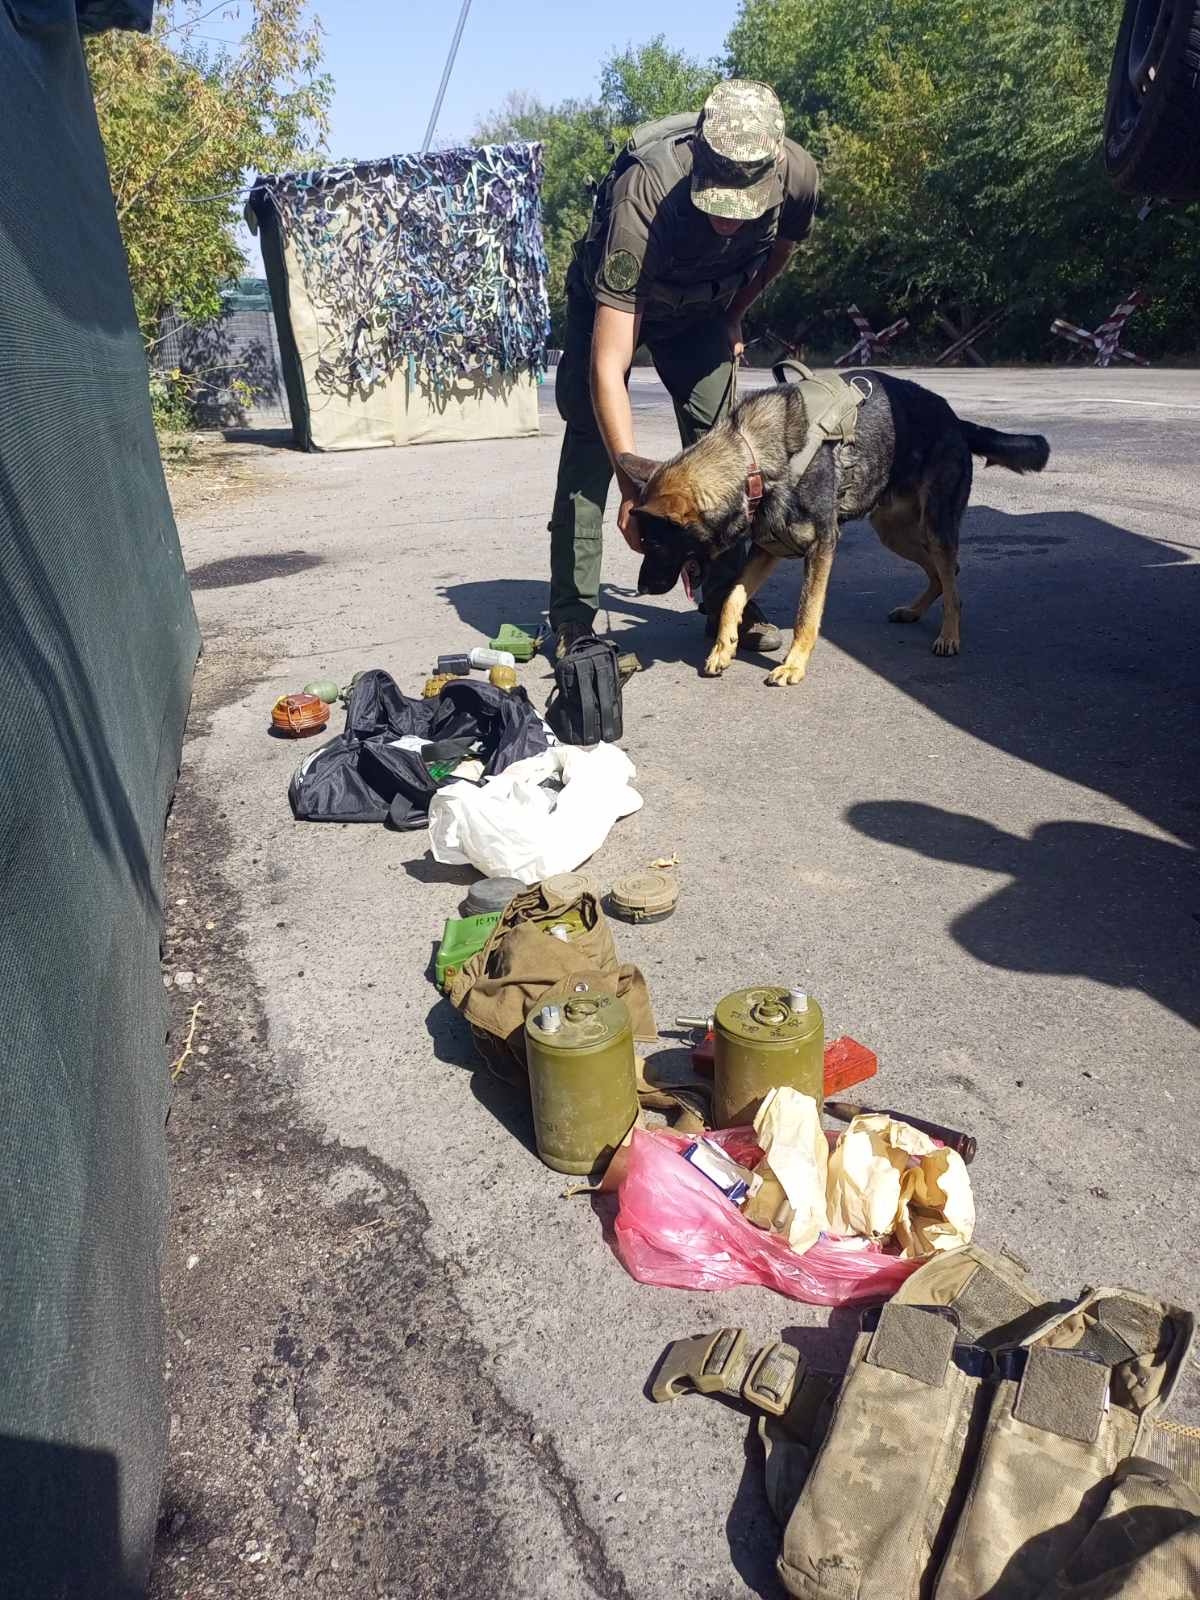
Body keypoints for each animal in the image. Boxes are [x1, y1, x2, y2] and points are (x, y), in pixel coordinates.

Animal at [620, 371, 1049, 684]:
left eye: (655, 545)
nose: (640, 588)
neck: (754, 461)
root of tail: (955, 419)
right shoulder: (768, 550)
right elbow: (732, 598)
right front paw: (723, 649)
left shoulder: (821, 547)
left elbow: (806, 614)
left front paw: (794, 665)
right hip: (893, 532)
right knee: (943, 575)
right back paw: (914, 611)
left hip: (935, 529)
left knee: (952, 580)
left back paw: (949, 635)